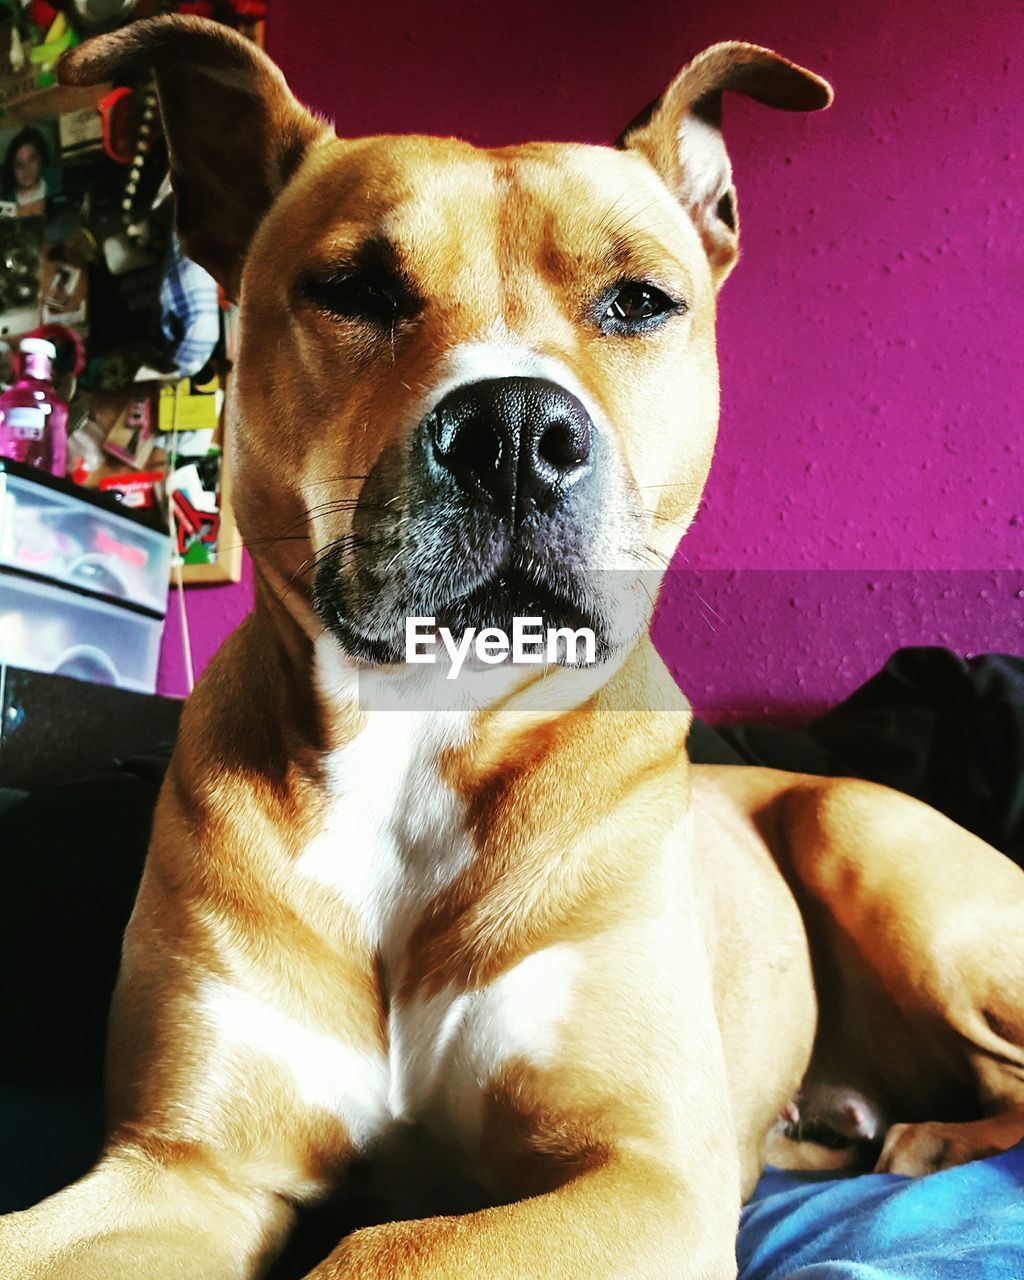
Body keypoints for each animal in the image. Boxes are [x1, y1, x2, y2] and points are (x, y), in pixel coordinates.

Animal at [2, 15, 1024, 1274]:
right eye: (352, 289)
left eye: (639, 300)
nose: (513, 430)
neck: (421, 723)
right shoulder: (178, 1167)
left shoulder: (642, 1178)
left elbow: (382, 1246)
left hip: (857, 829)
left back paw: (930, 1140)